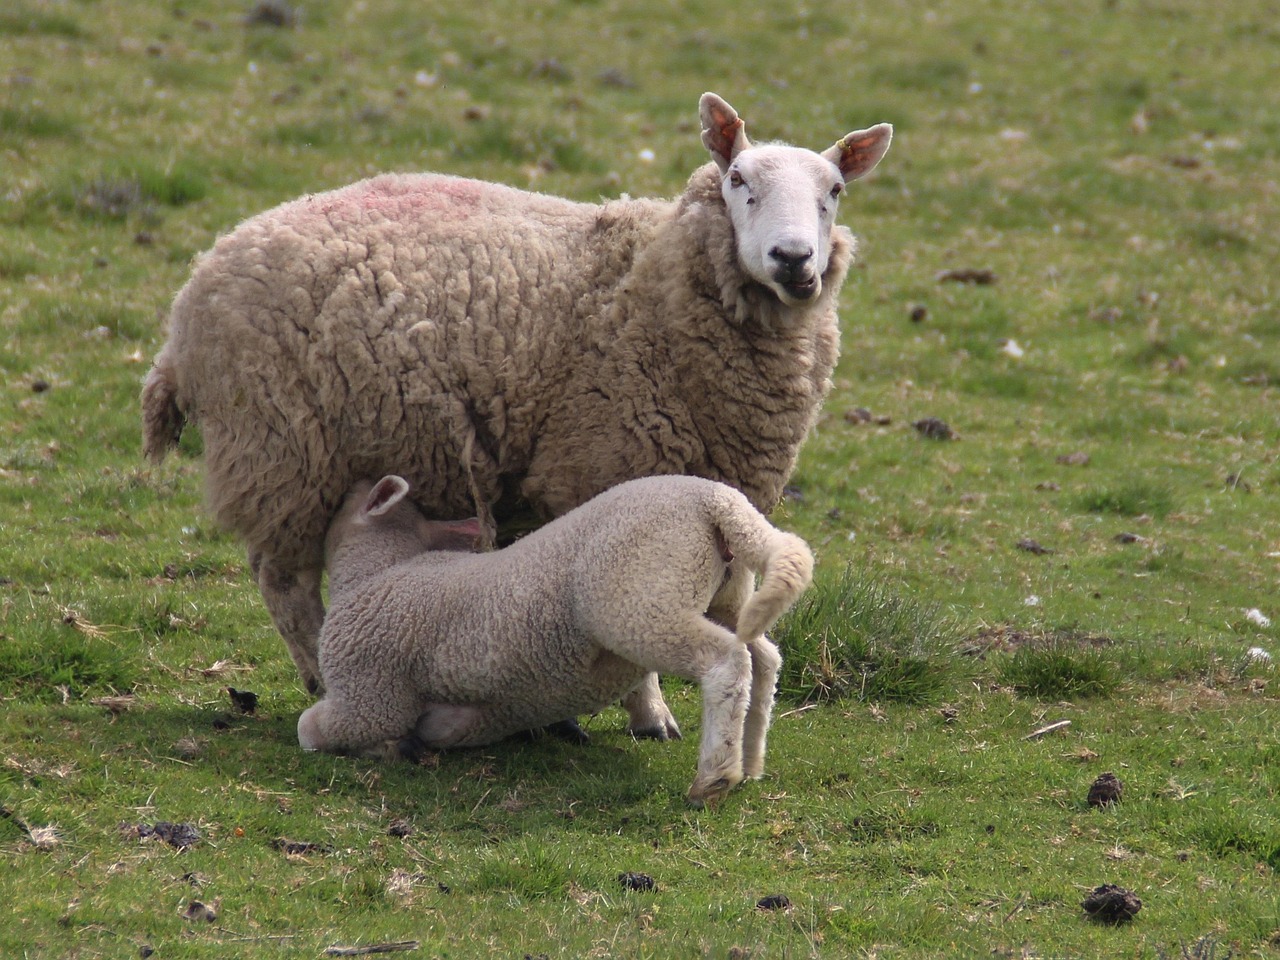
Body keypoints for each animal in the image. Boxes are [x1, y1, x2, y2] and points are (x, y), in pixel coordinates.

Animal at [140, 92, 891, 714]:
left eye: (834, 191)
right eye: (739, 181)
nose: (794, 260)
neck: (652, 281)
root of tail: (186, 306)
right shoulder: (600, 467)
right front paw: (647, 711)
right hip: (283, 452)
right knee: (284, 585)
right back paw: (323, 679)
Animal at [297, 473, 814, 806]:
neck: (378, 571)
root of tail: (719, 501)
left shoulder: (370, 694)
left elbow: (310, 729)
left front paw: (386, 748)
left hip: (643, 602)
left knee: (726, 662)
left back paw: (715, 777)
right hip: (729, 594)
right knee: (764, 658)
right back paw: (751, 761)